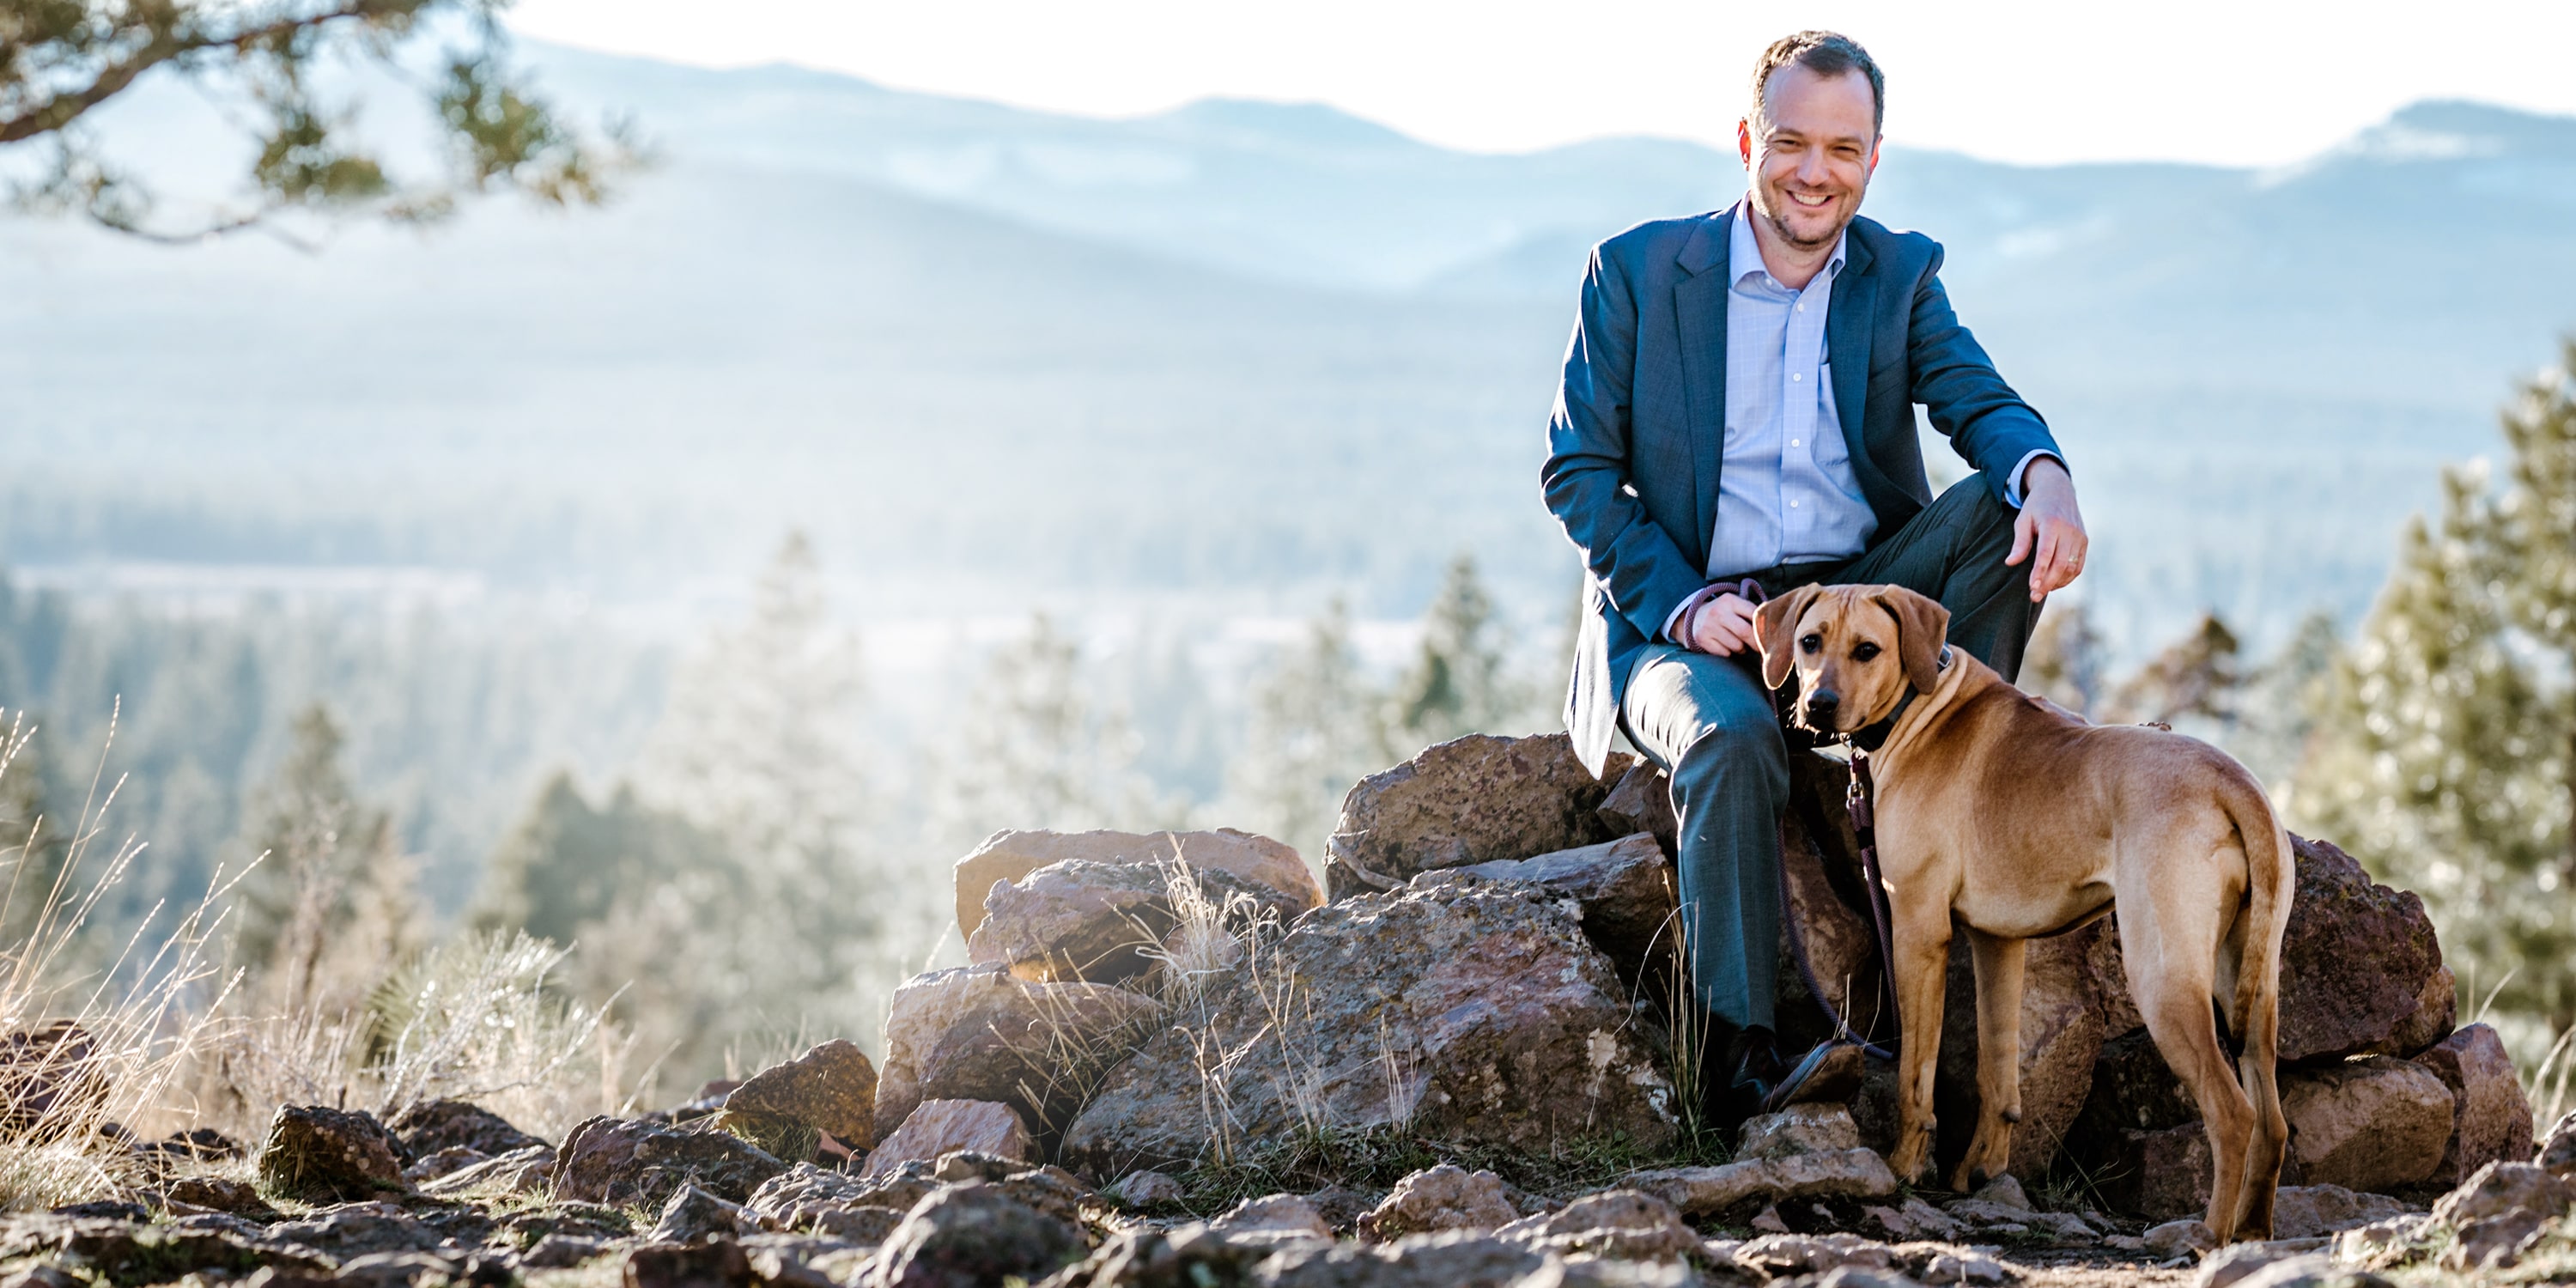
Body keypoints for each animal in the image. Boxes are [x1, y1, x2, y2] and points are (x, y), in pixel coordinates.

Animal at [1762, 587, 2287, 1247]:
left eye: (1867, 650)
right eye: (1810, 642)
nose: (1819, 705)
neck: (1921, 704)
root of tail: (2231, 780)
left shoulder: (1918, 931)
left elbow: (1915, 1073)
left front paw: (1906, 1165)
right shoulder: (1997, 944)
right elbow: (1997, 1072)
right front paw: (1981, 1170)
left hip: (2162, 978)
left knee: (2232, 1112)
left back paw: (2208, 1235)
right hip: (2249, 978)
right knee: (2272, 1121)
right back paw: (2255, 1231)